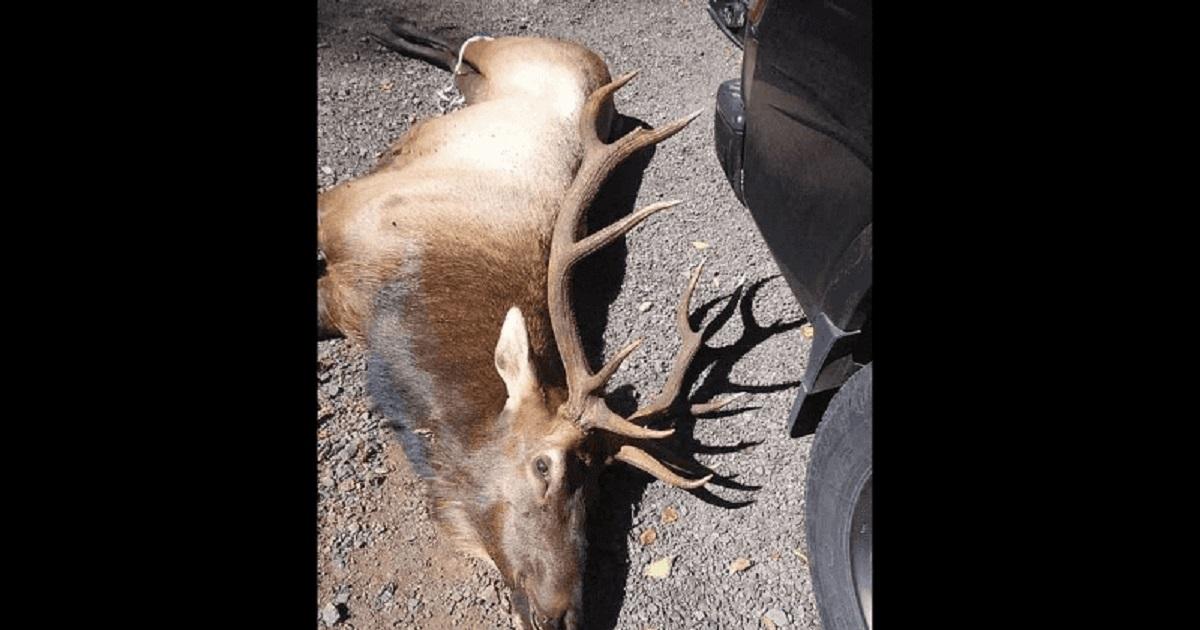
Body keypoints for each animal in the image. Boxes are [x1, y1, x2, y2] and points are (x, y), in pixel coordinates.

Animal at [318, 20, 737, 630]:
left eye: (600, 489)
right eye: (545, 465)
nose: (566, 615)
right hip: (508, 51)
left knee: (456, 55)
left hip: (485, 77)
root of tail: (590, 58)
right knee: (466, 43)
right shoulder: (337, 209)